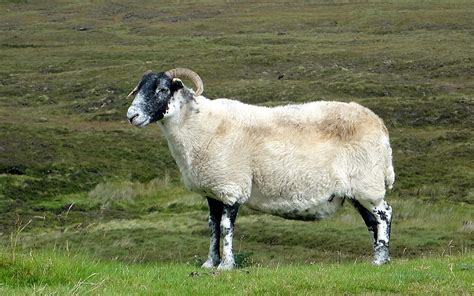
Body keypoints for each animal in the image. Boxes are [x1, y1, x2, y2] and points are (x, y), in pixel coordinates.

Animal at [127, 68, 396, 270]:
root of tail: (379, 124)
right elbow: (212, 227)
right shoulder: (212, 190)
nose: (132, 115)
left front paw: (226, 266)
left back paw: (381, 260)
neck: (198, 124)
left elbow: (225, 227)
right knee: (372, 221)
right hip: (357, 191)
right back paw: (377, 257)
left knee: (384, 215)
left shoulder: (231, 187)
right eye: (138, 89)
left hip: (368, 183)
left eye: (162, 90)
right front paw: (209, 264)